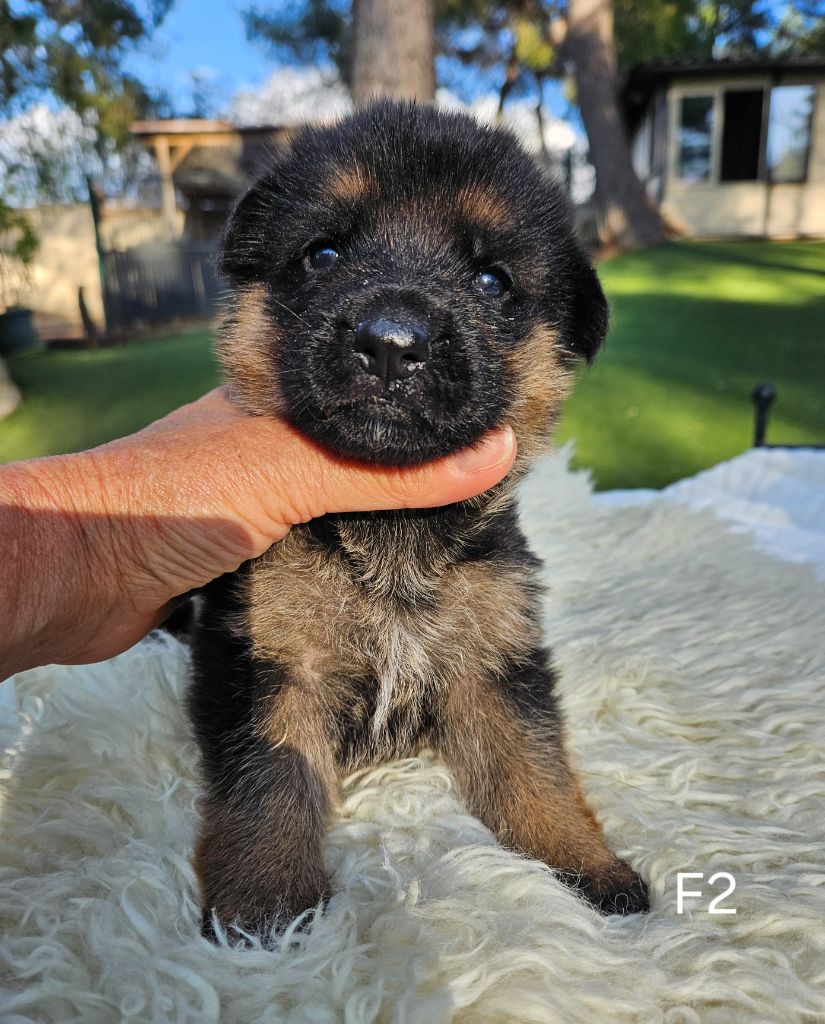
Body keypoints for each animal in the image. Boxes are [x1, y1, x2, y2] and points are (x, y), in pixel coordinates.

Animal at [189, 99, 650, 937]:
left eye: (492, 280)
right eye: (322, 253)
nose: (390, 342)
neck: (392, 527)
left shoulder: (496, 666)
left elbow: (539, 775)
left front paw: (585, 867)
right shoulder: (267, 661)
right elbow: (267, 782)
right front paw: (266, 906)